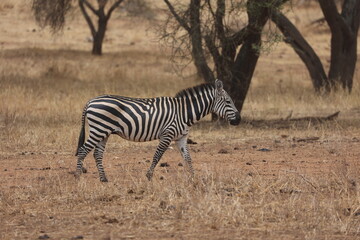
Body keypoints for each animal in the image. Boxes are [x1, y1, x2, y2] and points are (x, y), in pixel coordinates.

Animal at [74, 79, 240, 182]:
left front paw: (194, 177)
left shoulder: (181, 137)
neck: (184, 112)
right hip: (98, 130)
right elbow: (157, 156)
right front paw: (148, 176)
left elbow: (188, 158)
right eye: (228, 101)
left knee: (97, 154)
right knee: (83, 150)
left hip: (104, 132)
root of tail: (90, 101)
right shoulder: (167, 134)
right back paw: (77, 177)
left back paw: (103, 179)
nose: (238, 120)